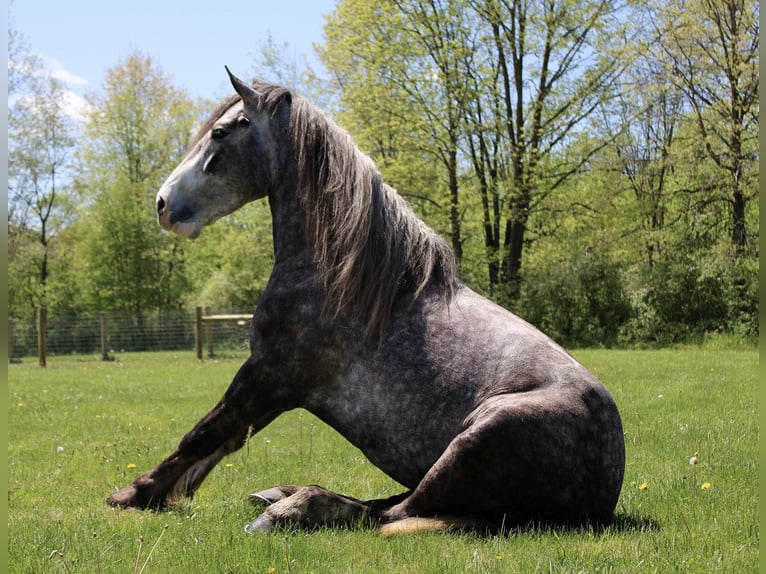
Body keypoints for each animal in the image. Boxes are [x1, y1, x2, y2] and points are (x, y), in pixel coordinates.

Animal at [106, 69, 625, 536]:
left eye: (220, 131)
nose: (163, 204)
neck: (344, 279)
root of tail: (609, 485)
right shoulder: (271, 386)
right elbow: (222, 441)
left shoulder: (270, 376)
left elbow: (204, 435)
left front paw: (133, 495)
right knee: (393, 503)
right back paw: (279, 494)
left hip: (478, 438)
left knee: (390, 513)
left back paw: (290, 509)